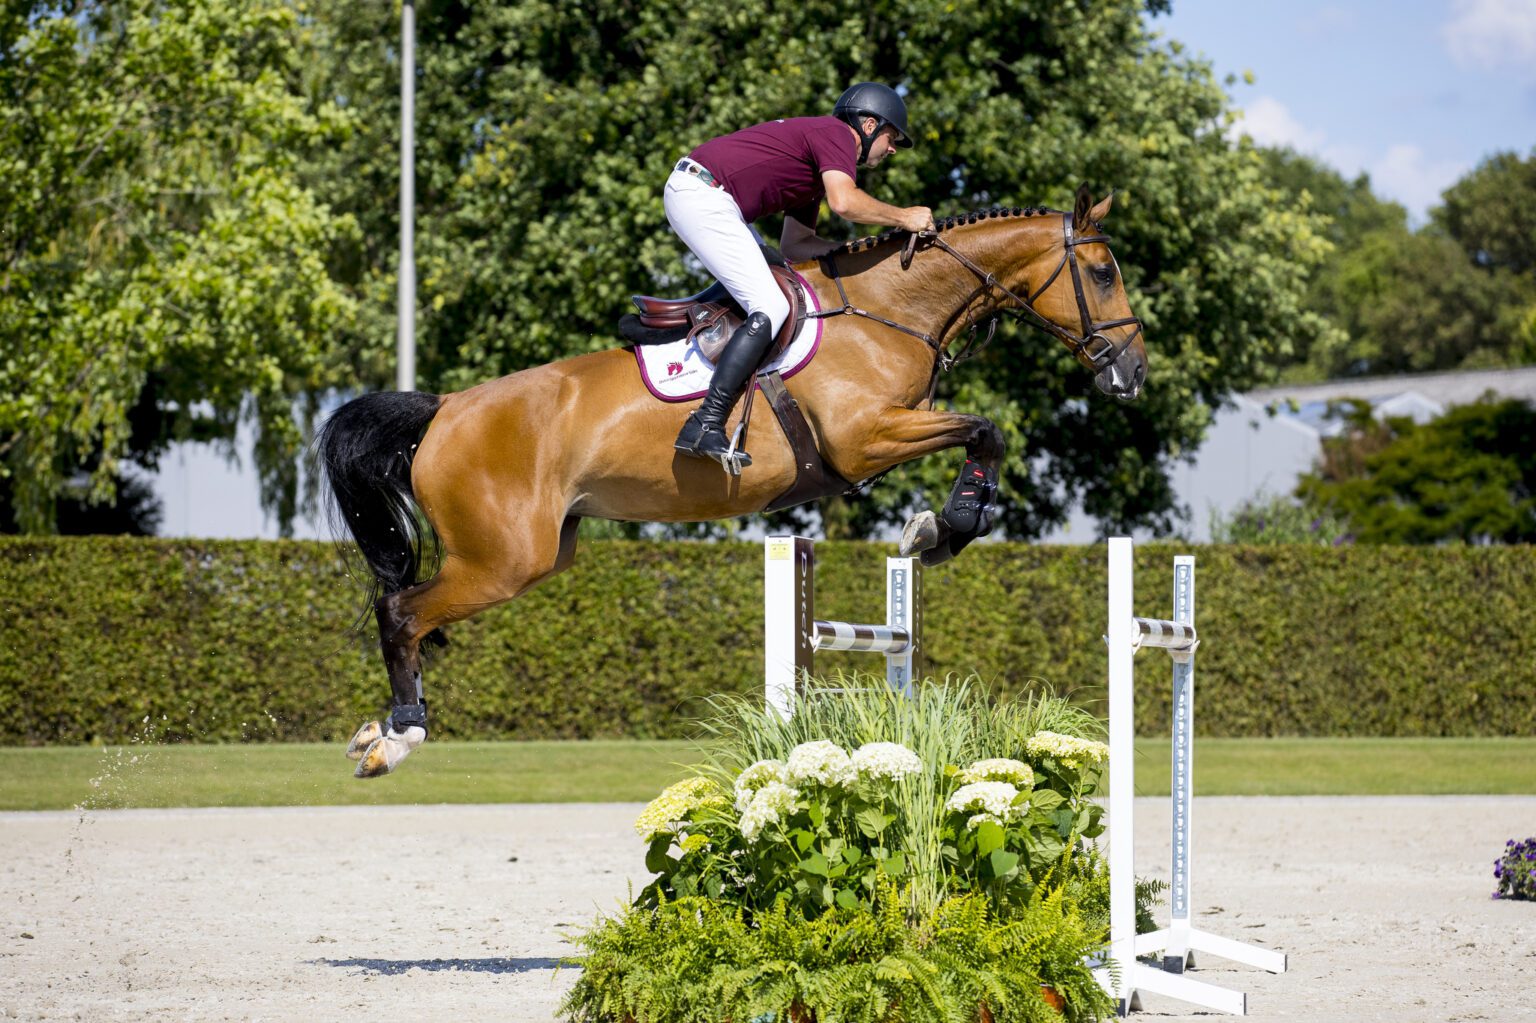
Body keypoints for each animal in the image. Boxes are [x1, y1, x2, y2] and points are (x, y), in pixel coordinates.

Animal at [318, 184, 1146, 778]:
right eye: (1103, 272)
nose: (1133, 374)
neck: (886, 310)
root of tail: (444, 409)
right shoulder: (865, 438)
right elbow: (985, 429)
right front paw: (943, 527)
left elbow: (983, 431)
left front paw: (940, 528)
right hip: (501, 561)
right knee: (400, 611)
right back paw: (397, 736)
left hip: (542, 552)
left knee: (408, 612)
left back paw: (379, 729)